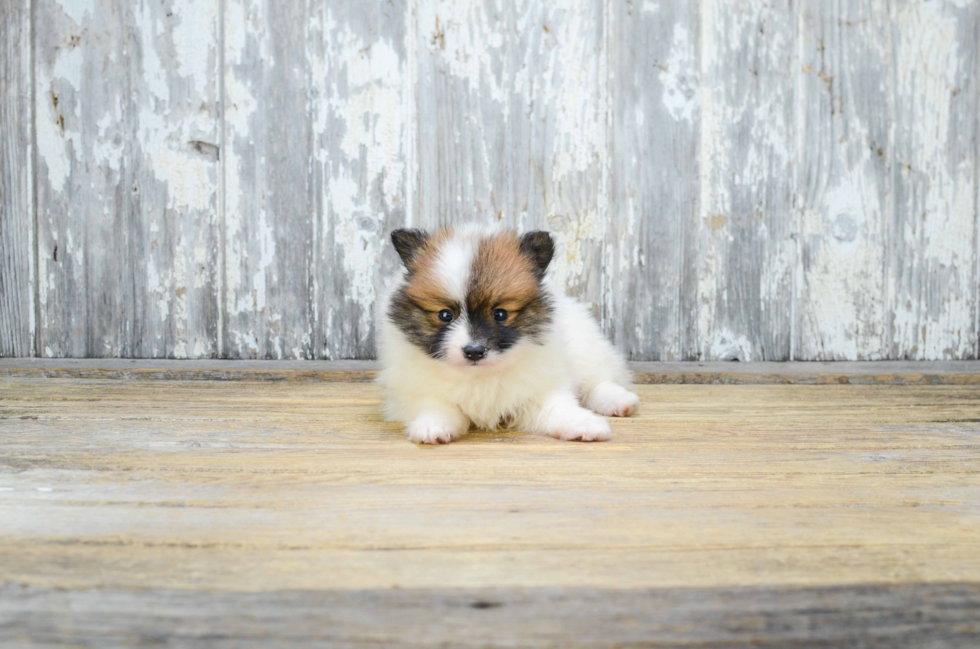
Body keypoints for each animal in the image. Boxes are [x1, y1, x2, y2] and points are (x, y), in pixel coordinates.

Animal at [376, 225, 636, 442]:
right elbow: (434, 406)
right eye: (445, 315)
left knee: (598, 381)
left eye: (500, 314)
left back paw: (620, 401)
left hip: (584, 348)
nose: (474, 351)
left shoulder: (540, 391)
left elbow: (560, 408)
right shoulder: (415, 391)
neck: (480, 376)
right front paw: (432, 426)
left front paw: (584, 424)